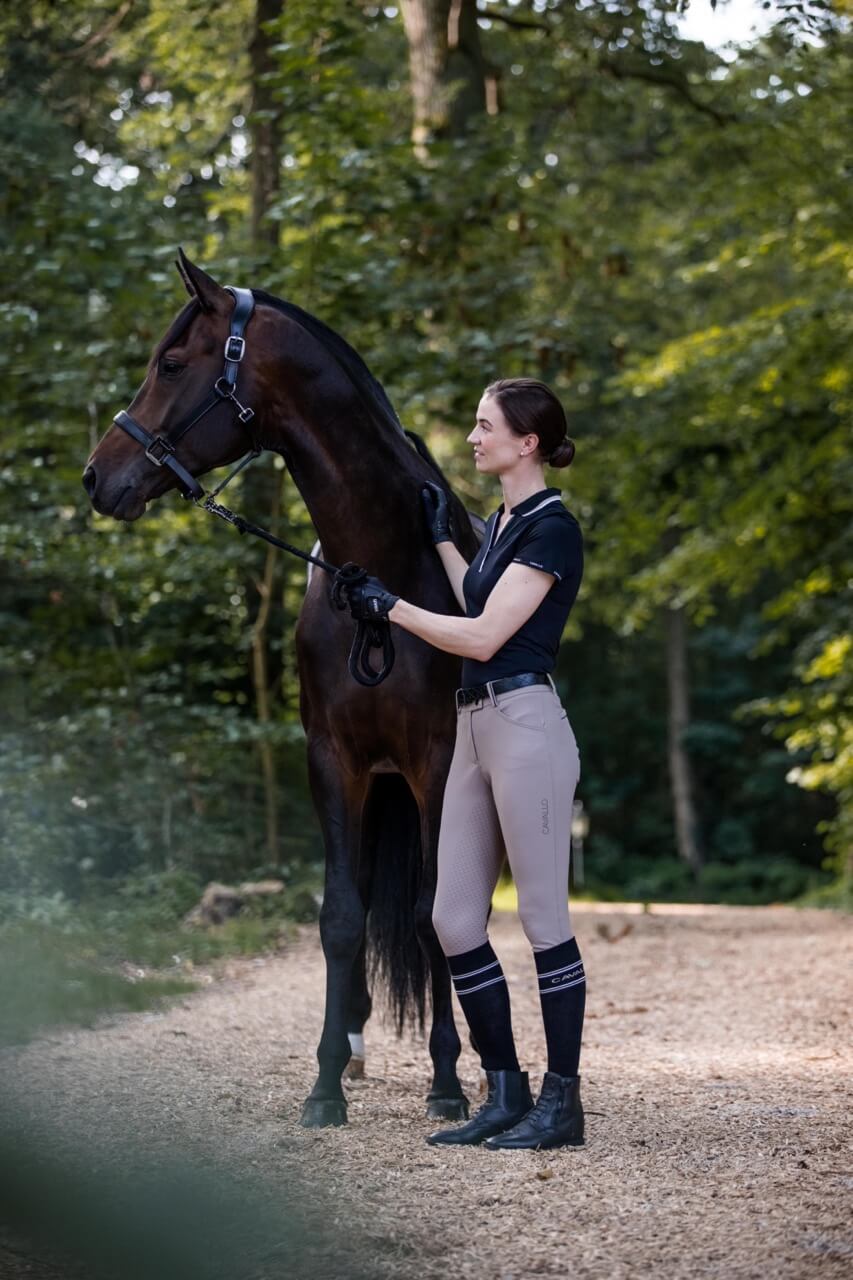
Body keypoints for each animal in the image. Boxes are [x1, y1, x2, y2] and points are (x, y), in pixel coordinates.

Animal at [82, 250, 485, 1127]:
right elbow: (339, 918)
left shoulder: (434, 762)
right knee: (360, 899)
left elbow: (429, 913)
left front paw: (445, 1078)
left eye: (171, 363)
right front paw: (325, 1082)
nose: (97, 476)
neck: (380, 577)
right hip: (371, 783)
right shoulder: (330, 760)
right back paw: (359, 1042)